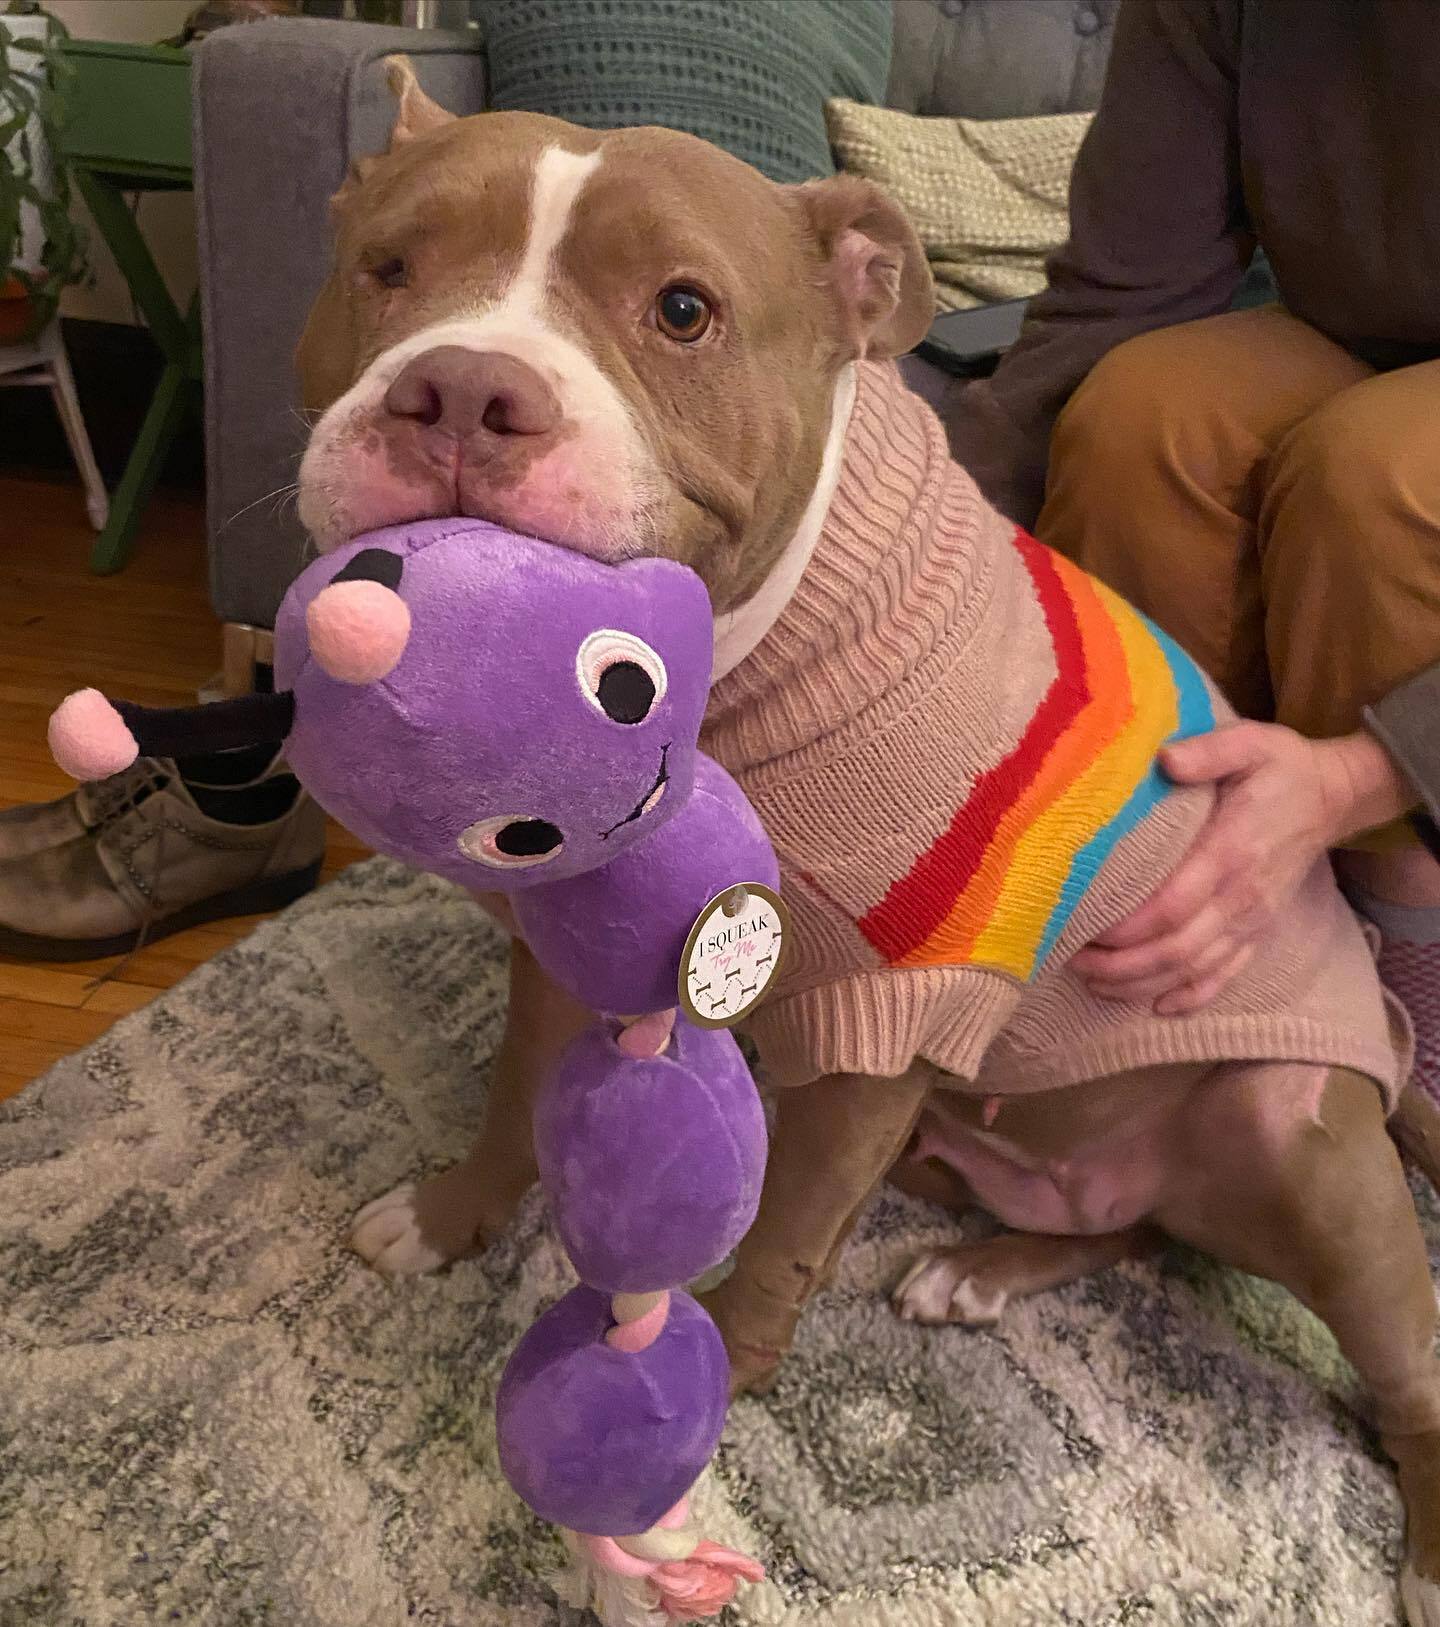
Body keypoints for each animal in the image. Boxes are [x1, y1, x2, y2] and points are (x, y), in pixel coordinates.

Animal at [292, 63, 1438, 1613]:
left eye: (683, 309)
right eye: (389, 266)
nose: (464, 389)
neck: (737, 671)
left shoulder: (885, 1024)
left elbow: (779, 1242)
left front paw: (703, 1406)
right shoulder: (570, 940)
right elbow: (516, 1095)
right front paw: (451, 1211)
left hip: (1295, 1133)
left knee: (1407, 1360)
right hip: (971, 1140)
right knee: (1130, 1223)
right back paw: (984, 1268)